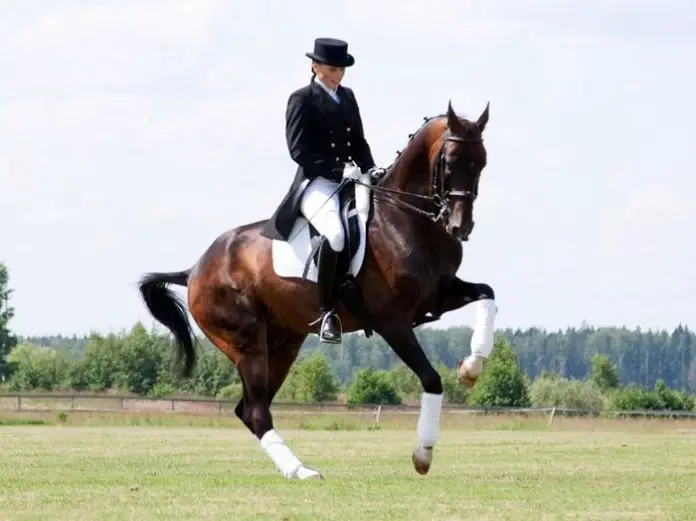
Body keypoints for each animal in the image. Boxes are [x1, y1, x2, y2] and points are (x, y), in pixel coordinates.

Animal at [137, 100, 497, 480]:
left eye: (482, 162)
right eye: (450, 161)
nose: (460, 227)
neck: (406, 220)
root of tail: (194, 269)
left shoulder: (439, 295)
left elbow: (488, 294)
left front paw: (472, 367)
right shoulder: (391, 321)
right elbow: (431, 379)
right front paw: (422, 455)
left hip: (283, 344)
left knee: (248, 409)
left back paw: (296, 467)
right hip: (246, 344)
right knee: (256, 411)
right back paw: (300, 471)